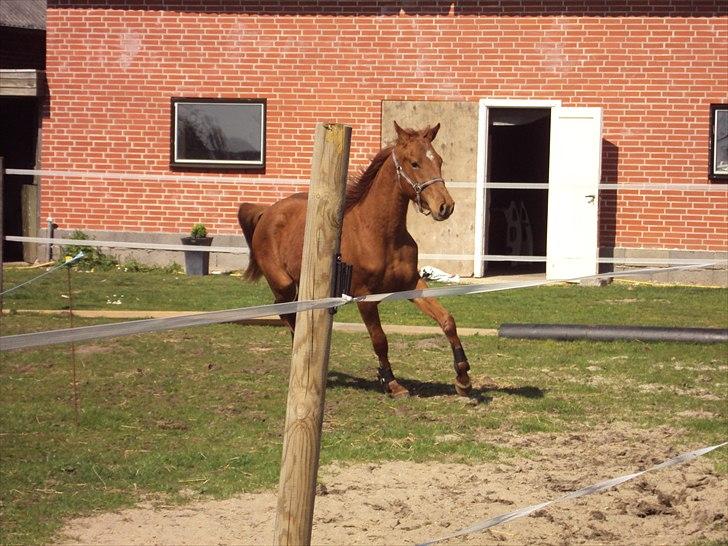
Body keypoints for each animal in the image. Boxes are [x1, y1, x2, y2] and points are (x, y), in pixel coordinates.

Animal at [239, 122, 472, 396]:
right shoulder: (364, 298)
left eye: (439, 160)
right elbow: (380, 339)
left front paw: (463, 378)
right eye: (414, 163)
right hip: (284, 284)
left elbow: (447, 321)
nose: (445, 206)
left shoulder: (412, 285)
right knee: (284, 311)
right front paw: (391, 382)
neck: (379, 234)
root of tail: (267, 211)